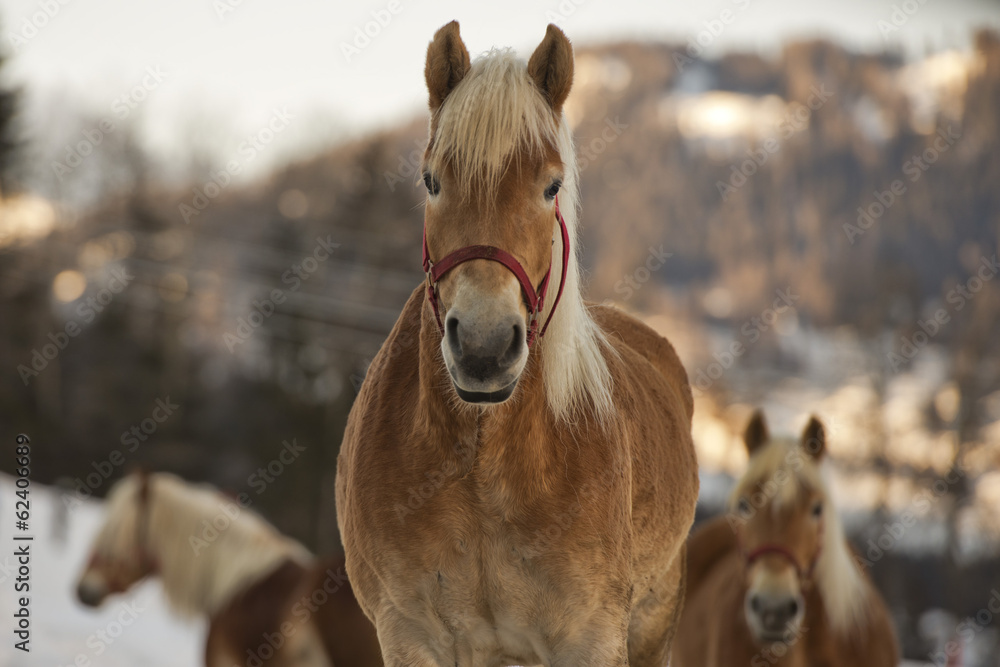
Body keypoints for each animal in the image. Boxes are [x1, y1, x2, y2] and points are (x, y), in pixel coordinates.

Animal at [334, 20, 696, 667]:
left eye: (551, 186)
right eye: (431, 180)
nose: (483, 346)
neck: (485, 464)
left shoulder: (592, 639)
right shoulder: (409, 634)